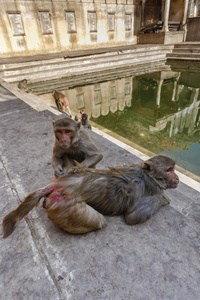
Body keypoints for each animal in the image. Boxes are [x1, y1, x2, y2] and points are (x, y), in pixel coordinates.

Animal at [2, 156, 179, 238]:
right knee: (99, 221)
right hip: (64, 207)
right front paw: (165, 199)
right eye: (169, 170)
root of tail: (60, 183)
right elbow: (134, 217)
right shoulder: (150, 189)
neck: (148, 175)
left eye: (173, 168)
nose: (177, 178)